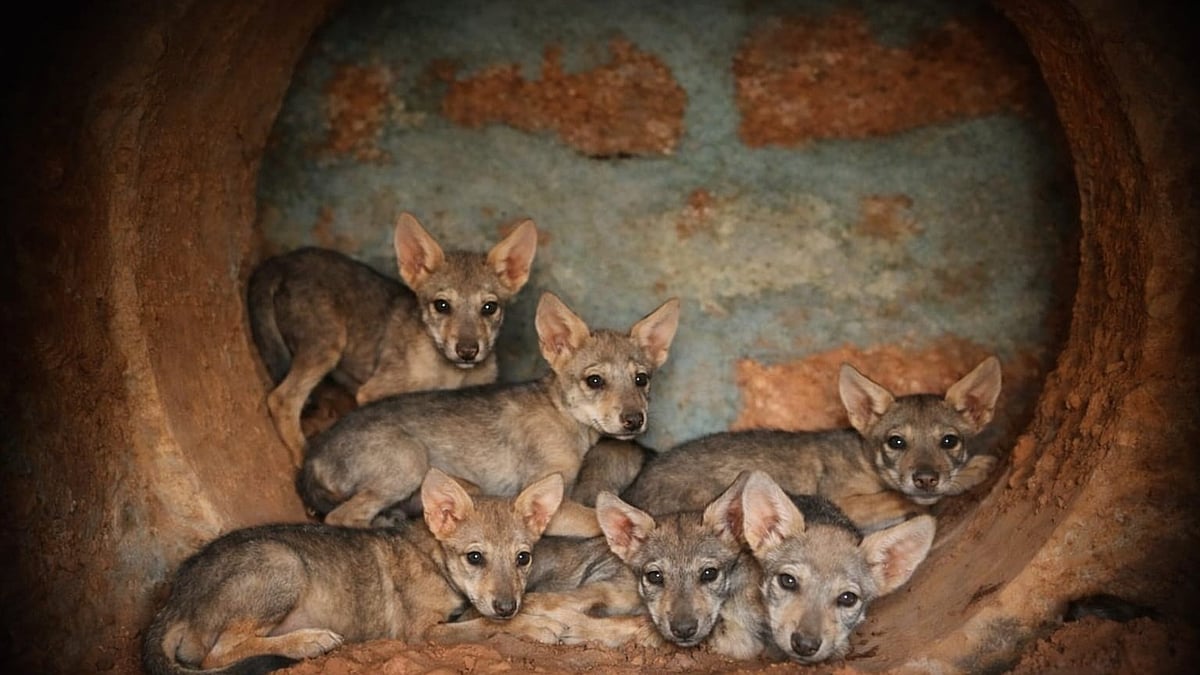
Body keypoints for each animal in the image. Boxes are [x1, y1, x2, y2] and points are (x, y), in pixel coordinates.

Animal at [141, 468, 563, 674]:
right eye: (475, 558)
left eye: (523, 558)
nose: (507, 605)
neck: (434, 560)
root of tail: (174, 600)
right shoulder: (421, 634)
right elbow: (484, 627)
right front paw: (535, 627)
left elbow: (485, 617)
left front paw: (534, 615)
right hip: (284, 564)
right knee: (215, 655)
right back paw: (308, 641)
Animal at [247, 212, 538, 464]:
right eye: (442, 305)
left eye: (489, 307)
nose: (468, 351)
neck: (449, 376)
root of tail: (281, 260)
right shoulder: (374, 393)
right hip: (327, 346)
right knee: (281, 399)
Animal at [298, 292, 680, 536]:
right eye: (595, 381)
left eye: (642, 379)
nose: (635, 420)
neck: (564, 418)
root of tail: (311, 458)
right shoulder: (550, 503)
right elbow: (596, 521)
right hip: (409, 461)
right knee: (341, 517)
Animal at [622, 356, 1003, 530]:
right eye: (896, 442)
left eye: (949, 441)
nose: (925, 478)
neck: (863, 459)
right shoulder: (844, 502)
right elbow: (900, 496)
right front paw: (974, 472)